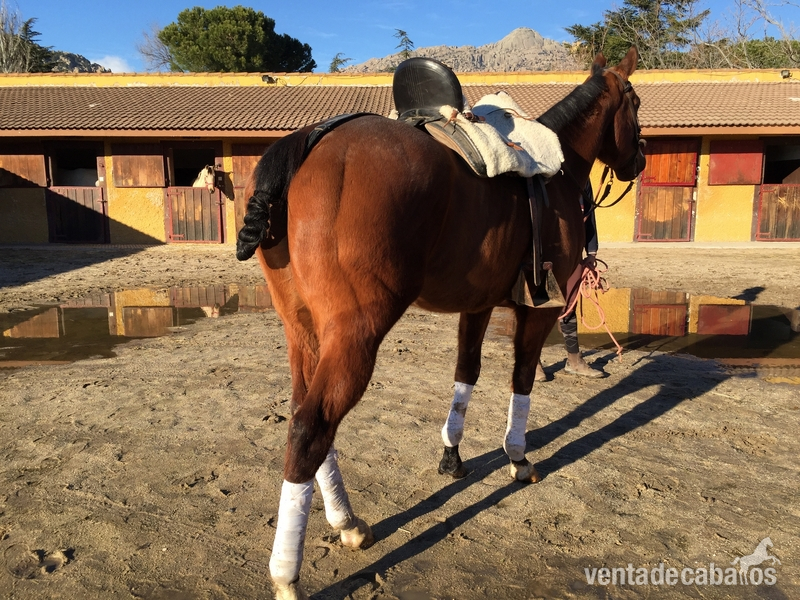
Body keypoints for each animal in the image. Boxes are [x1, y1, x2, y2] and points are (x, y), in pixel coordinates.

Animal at [236, 48, 645, 600]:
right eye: (635, 103)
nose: (639, 159)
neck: (556, 170)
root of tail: (310, 141)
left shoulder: (477, 306)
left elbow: (465, 376)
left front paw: (451, 456)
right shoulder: (538, 310)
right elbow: (521, 382)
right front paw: (517, 457)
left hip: (304, 333)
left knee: (306, 415)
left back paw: (347, 522)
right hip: (356, 333)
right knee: (310, 427)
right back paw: (288, 574)